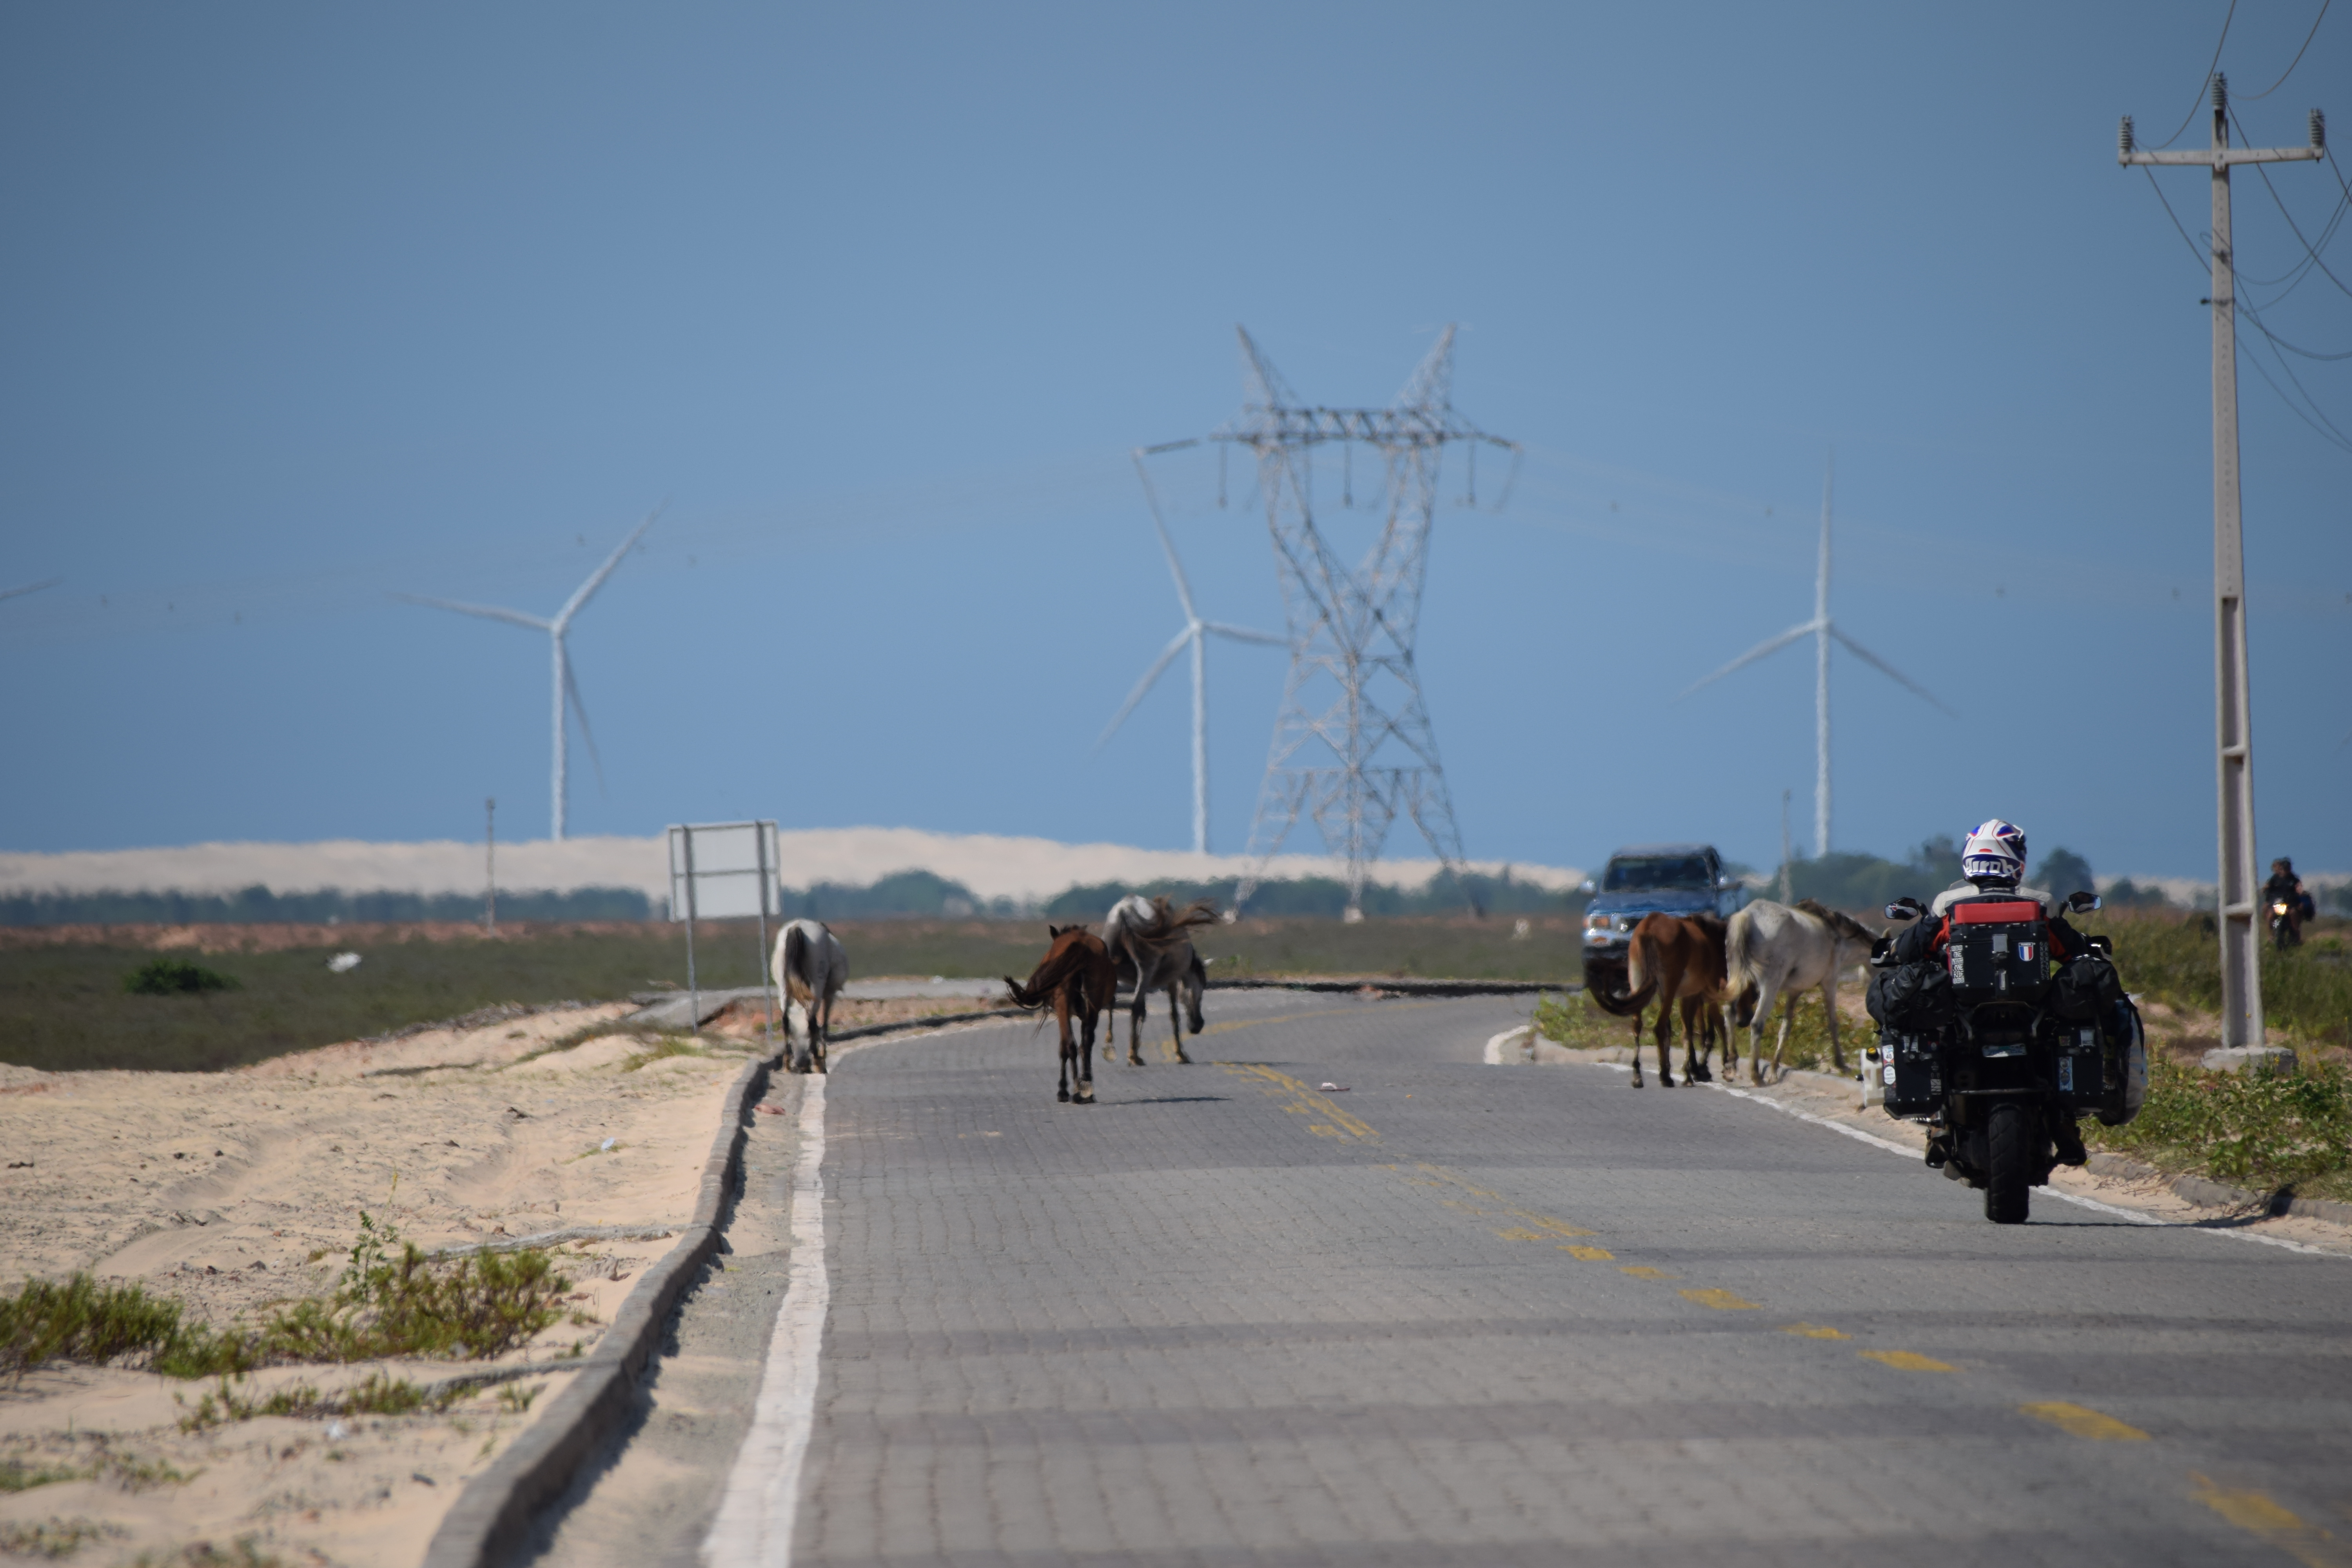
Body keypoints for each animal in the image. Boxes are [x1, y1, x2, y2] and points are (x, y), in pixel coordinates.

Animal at [767, 921, 851, 1081]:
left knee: (786, 1018)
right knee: (812, 1019)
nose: (802, 1062)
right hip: (817, 984)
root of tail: (797, 927)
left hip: (783, 987)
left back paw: (787, 1064)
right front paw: (821, 1058)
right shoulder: (829, 994)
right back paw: (818, 1063)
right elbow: (823, 1025)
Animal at [1002, 921, 1120, 1105]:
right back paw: (1086, 1088)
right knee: (1086, 1043)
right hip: (1093, 1002)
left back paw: (1076, 1091)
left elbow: (1064, 1048)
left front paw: (1064, 1091)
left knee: (1070, 1045)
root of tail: (1082, 946)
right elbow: (1085, 1043)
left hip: (1063, 1003)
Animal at [1101, 893, 1214, 1067]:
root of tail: (1124, 912)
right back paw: (1132, 1055)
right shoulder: (1172, 980)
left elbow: (1144, 1011)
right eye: (1203, 986)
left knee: (1113, 1002)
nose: (1198, 1025)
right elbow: (1174, 1014)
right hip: (1146, 968)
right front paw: (1180, 1054)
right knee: (1135, 1006)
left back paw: (1110, 1048)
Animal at [1731, 893, 1872, 1091]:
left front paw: (1774, 1070)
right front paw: (1841, 1064)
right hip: (1770, 983)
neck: (1838, 936)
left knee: (1728, 1015)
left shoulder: (1794, 992)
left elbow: (1785, 1028)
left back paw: (1729, 1067)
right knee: (1757, 1023)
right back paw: (1755, 1075)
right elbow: (1833, 1022)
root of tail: (1748, 916)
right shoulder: (1830, 982)